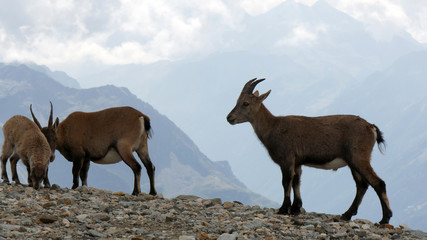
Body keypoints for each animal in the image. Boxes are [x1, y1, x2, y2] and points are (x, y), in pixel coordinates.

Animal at [229, 78, 392, 224]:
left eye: (245, 103)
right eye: (237, 101)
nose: (229, 118)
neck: (272, 127)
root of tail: (371, 127)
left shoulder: (287, 159)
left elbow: (286, 182)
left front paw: (283, 209)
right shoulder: (297, 162)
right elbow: (297, 181)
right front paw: (295, 208)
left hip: (359, 157)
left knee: (378, 183)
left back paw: (384, 218)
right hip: (353, 162)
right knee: (362, 185)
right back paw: (347, 214)